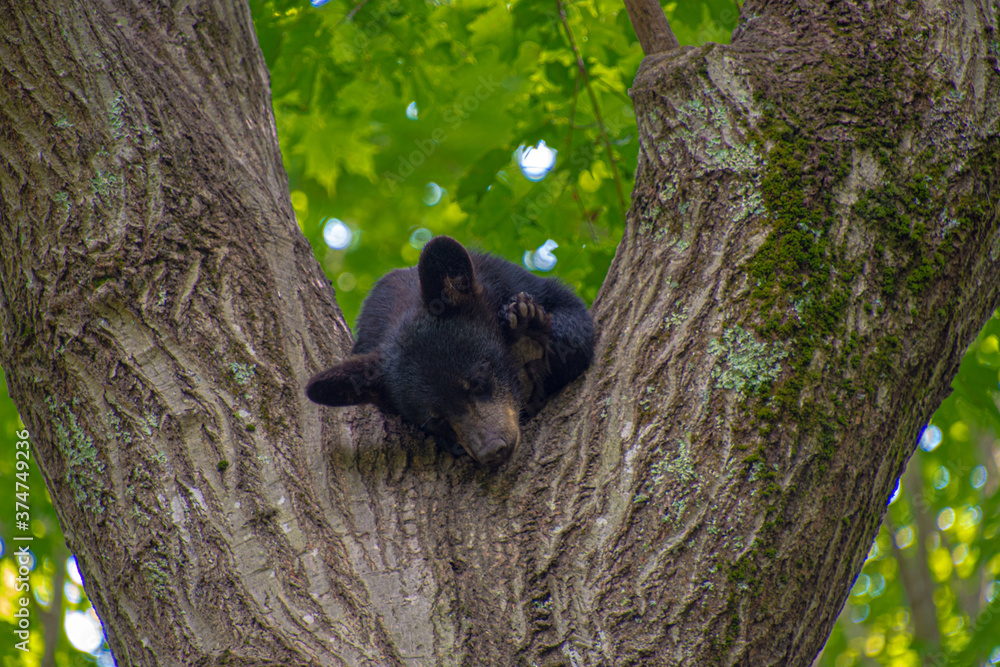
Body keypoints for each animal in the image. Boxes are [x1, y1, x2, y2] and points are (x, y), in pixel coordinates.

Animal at [305, 235, 594, 466]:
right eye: (435, 420)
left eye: (477, 381)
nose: (492, 450)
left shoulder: (507, 276)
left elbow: (576, 321)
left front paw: (530, 336)